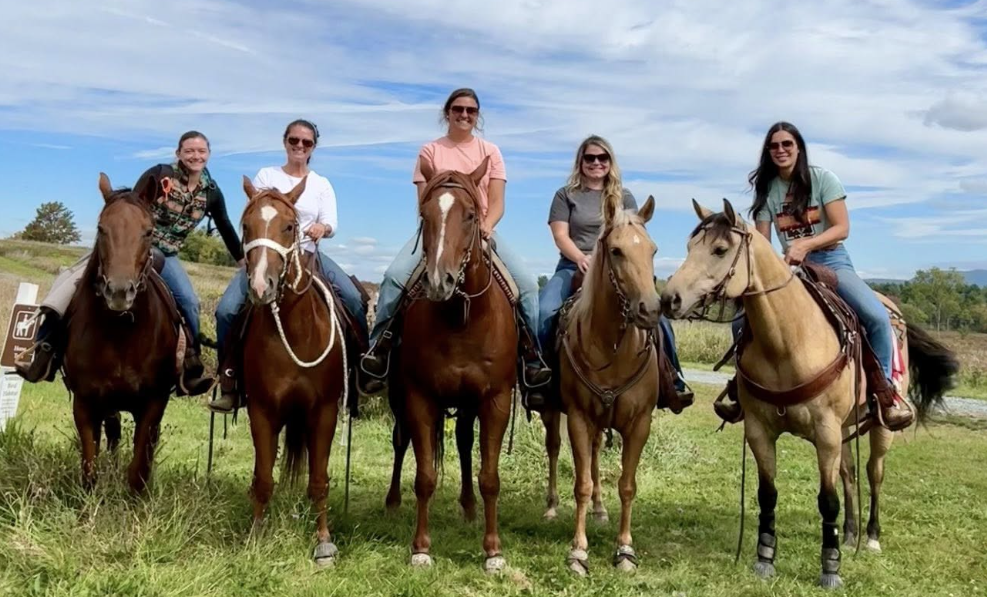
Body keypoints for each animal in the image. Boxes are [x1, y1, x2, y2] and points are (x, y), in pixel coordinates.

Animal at [63, 173, 180, 493]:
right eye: (102, 228)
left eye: (148, 231)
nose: (118, 291)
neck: (122, 335)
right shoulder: (85, 402)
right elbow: (89, 467)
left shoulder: (153, 404)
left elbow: (139, 469)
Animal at [238, 175, 348, 567]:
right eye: (246, 226)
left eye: (289, 226)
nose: (261, 286)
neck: (296, 333)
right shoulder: (262, 410)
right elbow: (263, 478)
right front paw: (255, 534)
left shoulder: (324, 411)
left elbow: (319, 480)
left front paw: (324, 543)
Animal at [385, 157, 517, 573]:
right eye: (424, 214)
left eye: (471, 215)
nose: (438, 281)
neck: (461, 318)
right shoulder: (419, 397)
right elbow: (425, 475)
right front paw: (421, 548)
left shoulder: (494, 400)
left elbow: (489, 476)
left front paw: (493, 551)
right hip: (398, 398)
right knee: (400, 442)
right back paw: (392, 502)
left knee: (462, 443)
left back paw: (469, 507)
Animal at [543, 194, 663, 575]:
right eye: (616, 251)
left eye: (653, 250)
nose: (649, 309)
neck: (611, 347)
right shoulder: (579, 418)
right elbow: (580, 483)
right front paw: (578, 552)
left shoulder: (639, 423)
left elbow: (626, 485)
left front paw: (625, 549)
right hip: (552, 413)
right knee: (553, 449)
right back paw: (551, 506)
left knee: (596, 455)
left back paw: (599, 509)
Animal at [661, 199, 958, 589]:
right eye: (688, 247)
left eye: (720, 249)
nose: (669, 298)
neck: (787, 340)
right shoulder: (760, 430)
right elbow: (768, 494)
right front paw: (764, 559)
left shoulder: (826, 432)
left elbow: (827, 501)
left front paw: (830, 570)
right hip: (846, 427)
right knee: (849, 472)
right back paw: (849, 534)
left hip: (879, 427)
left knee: (874, 473)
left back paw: (871, 536)